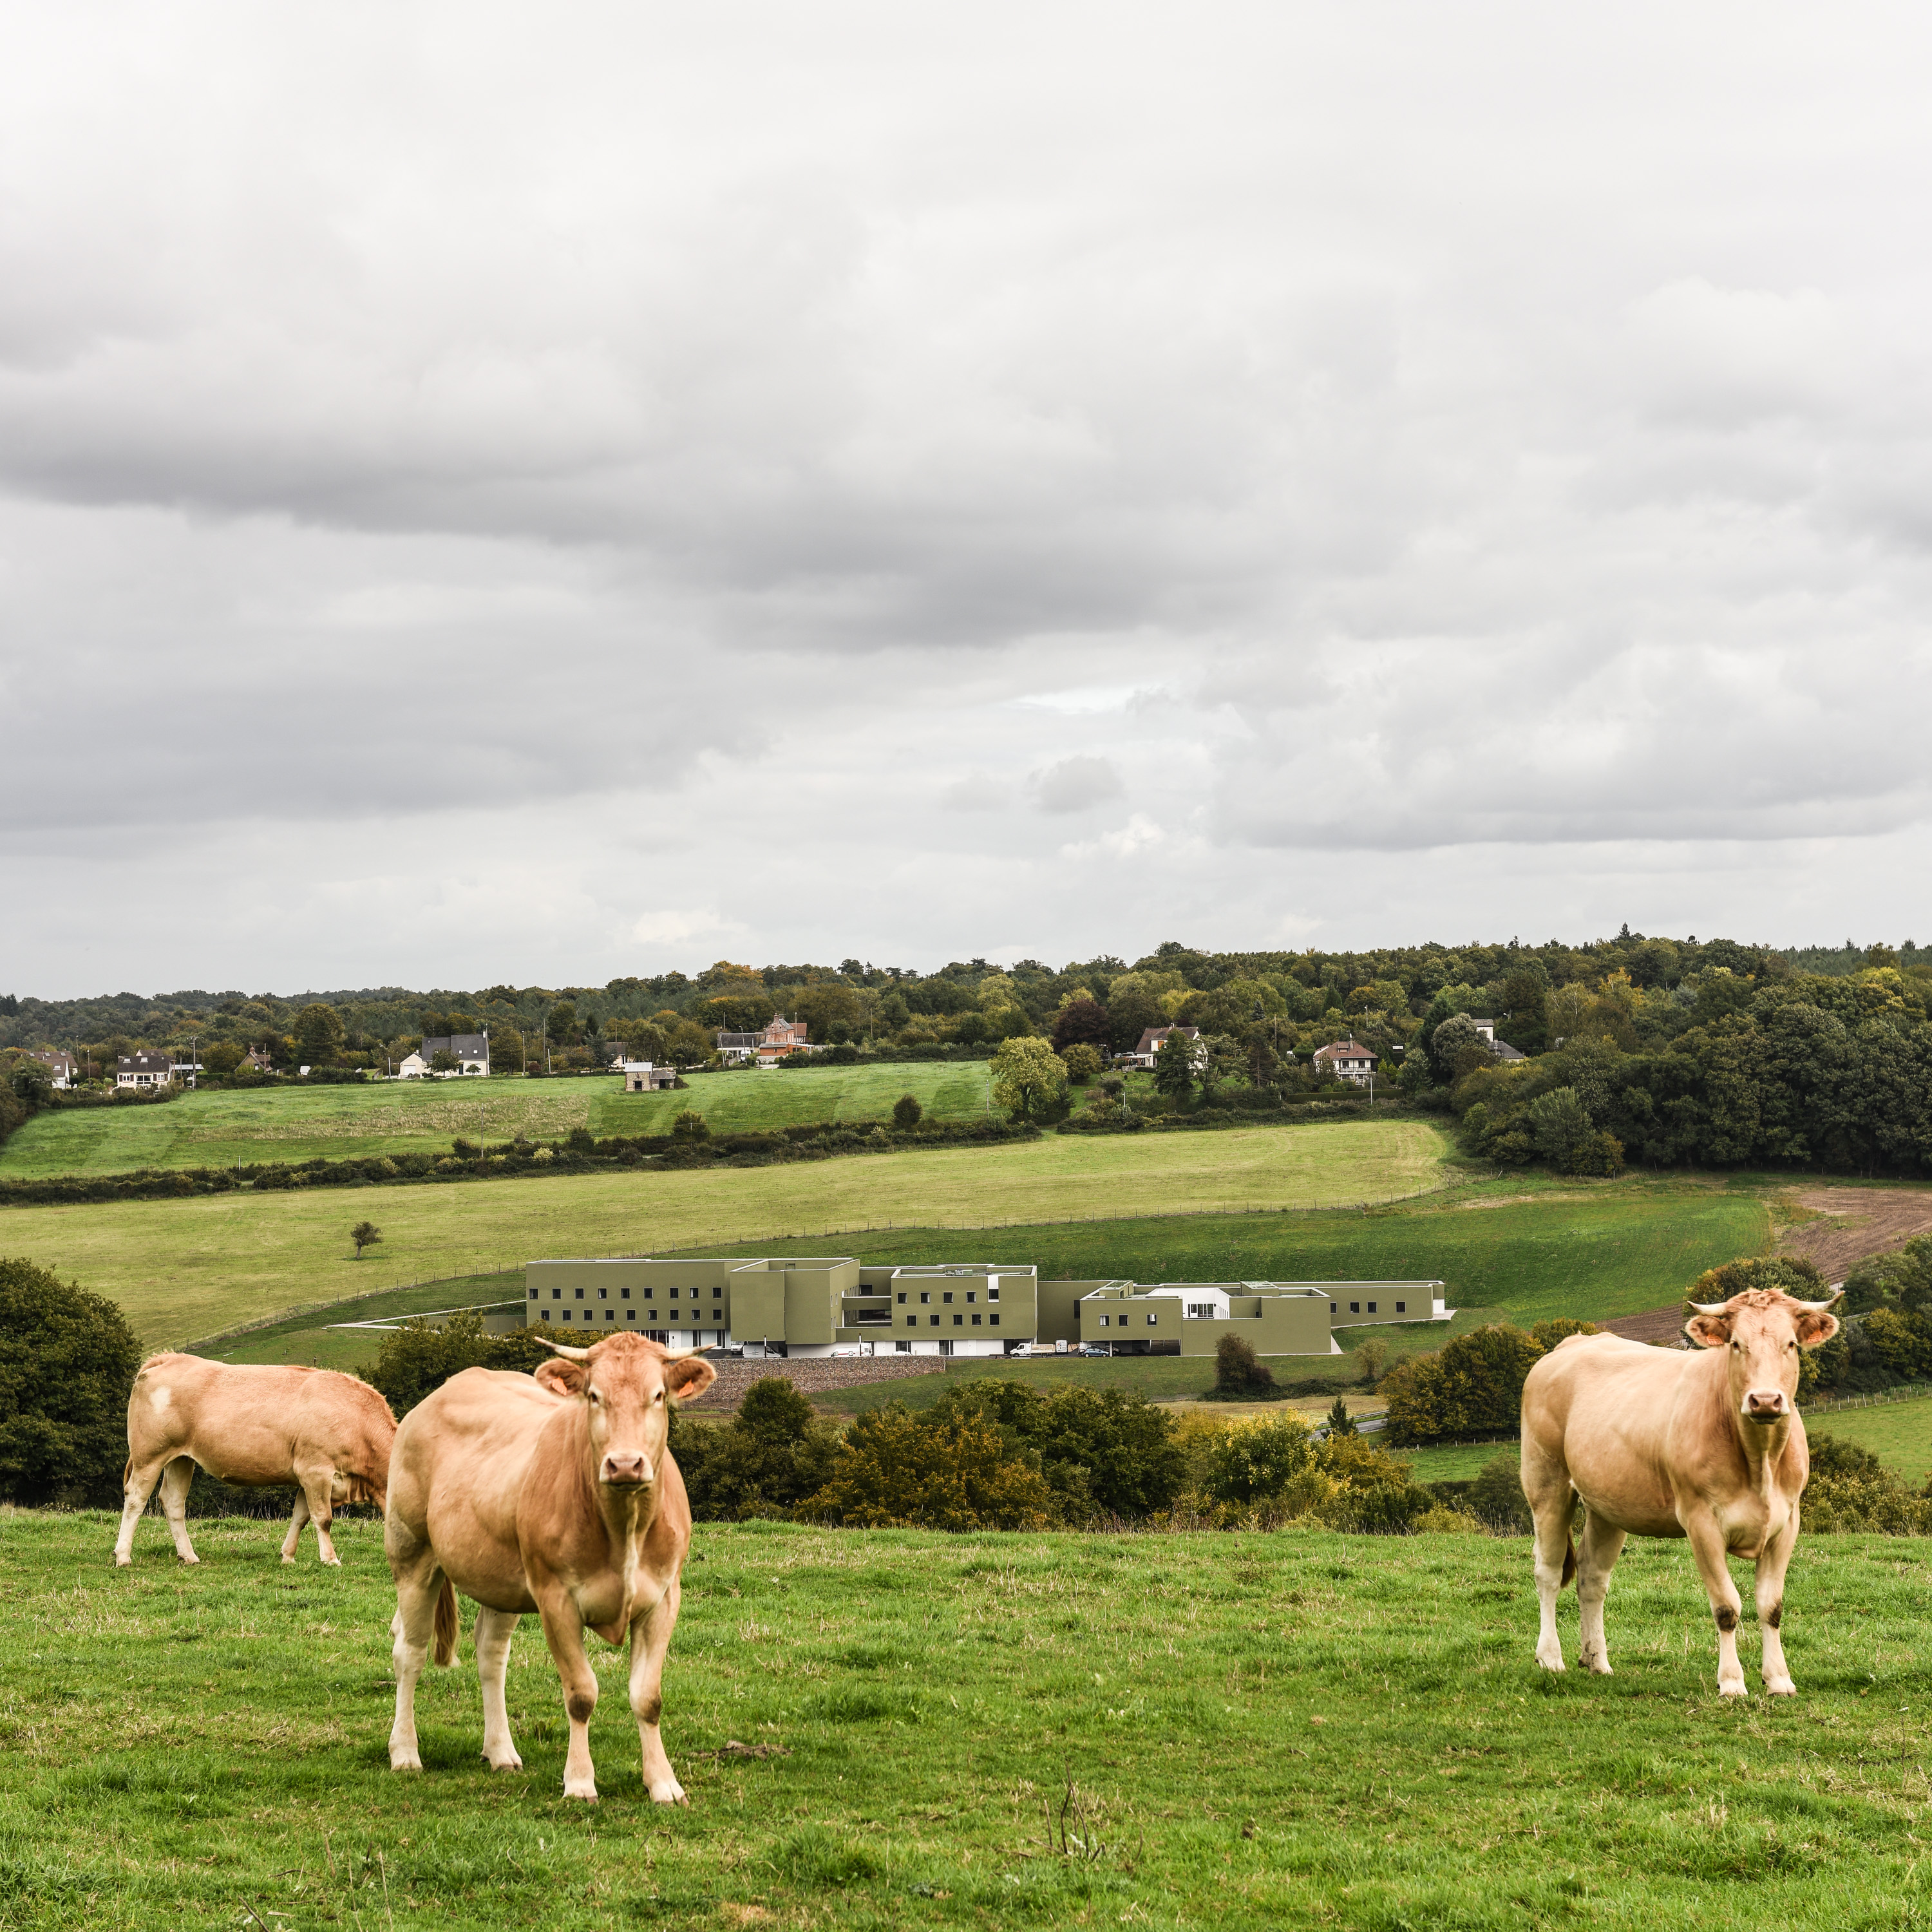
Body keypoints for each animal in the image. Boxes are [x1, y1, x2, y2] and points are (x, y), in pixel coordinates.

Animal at [114, 1360, 396, 1569]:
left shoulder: (307, 1478)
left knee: (172, 1501)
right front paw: (330, 1559)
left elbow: (300, 1517)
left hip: (181, 1458)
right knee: (136, 1498)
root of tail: (172, 1357)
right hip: (150, 1455)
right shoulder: (316, 1471)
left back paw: (189, 1556)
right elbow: (323, 1518)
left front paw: (288, 1556)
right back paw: (123, 1556)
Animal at [384, 1337, 719, 1801]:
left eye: (658, 1395)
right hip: (412, 1552)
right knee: (410, 1652)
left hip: (500, 1580)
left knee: (491, 1654)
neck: (624, 1527)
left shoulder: (663, 1599)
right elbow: (581, 1694)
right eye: (594, 1396)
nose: (625, 1464)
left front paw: (664, 1784)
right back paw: (404, 1753)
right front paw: (579, 1781)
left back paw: (500, 1751)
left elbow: (647, 1698)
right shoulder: (556, 1599)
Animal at [1522, 1291, 1839, 1700]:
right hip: (1546, 1484)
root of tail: (1572, 1342)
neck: (1761, 1460)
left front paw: (1779, 1680)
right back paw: (1550, 1658)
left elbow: (1771, 1606)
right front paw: (1732, 1682)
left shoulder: (1787, 1522)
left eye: (1791, 1345)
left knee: (1592, 1576)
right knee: (1547, 1572)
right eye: (1736, 1344)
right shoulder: (1700, 1521)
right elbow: (1726, 1606)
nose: (1766, 1400)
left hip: (1609, 1506)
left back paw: (1597, 1661)